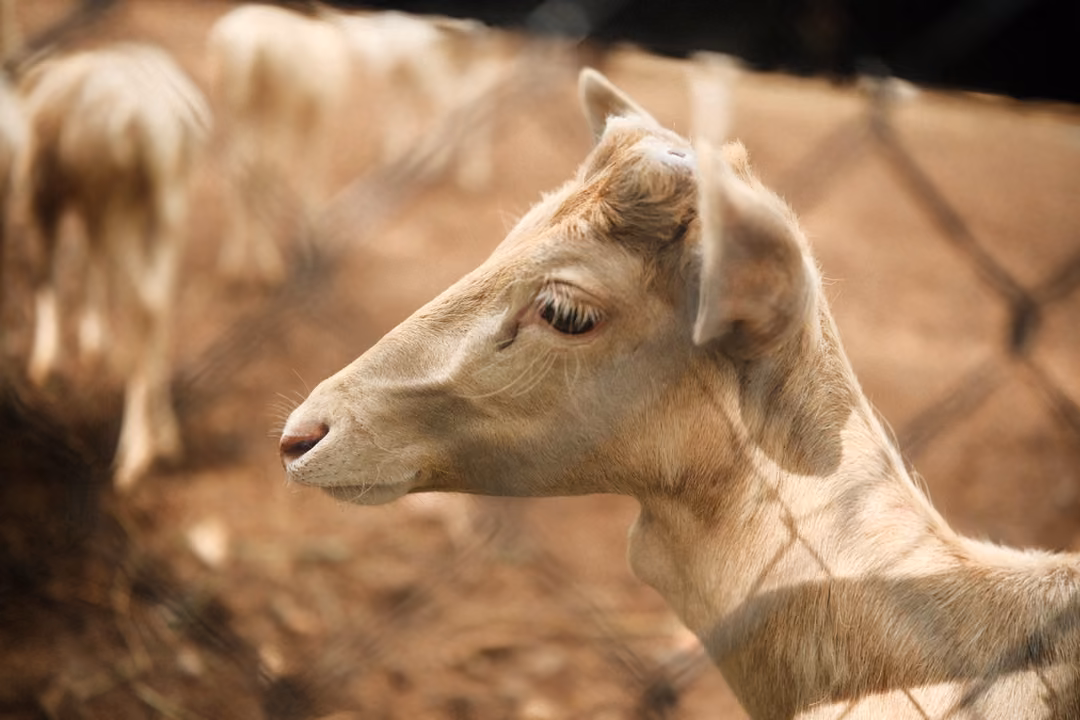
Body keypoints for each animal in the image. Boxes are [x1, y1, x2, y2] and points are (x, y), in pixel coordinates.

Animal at [21, 42, 210, 489]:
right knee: (159, 302)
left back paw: (135, 457)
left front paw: (43, 364)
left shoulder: (43, 194)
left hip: (120, 204)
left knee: (143, 304)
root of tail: (163, 123)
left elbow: (46, 272)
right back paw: (164, 440)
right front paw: (93, 343)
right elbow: (90, 261)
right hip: (167, 205)